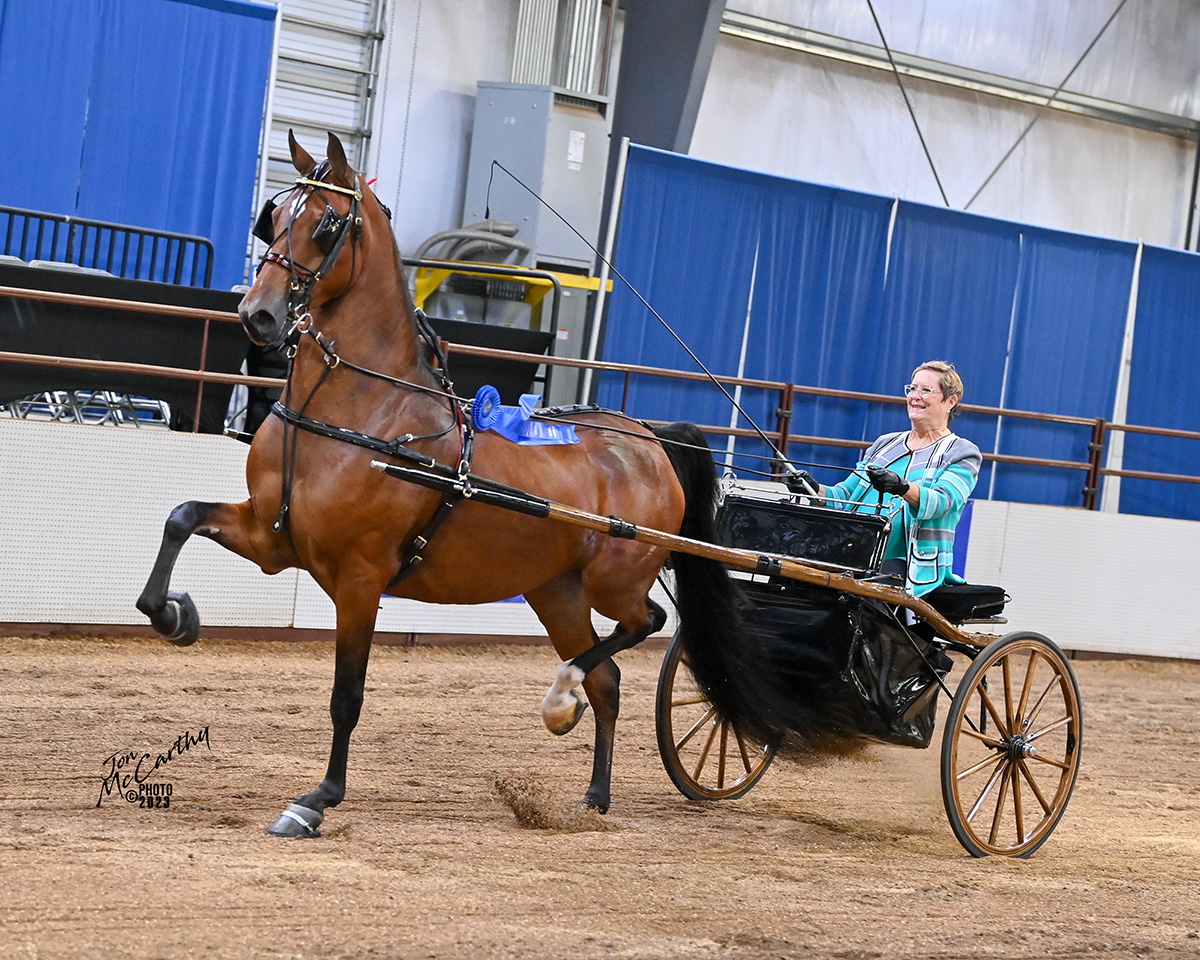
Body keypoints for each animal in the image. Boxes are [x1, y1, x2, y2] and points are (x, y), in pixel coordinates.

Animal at [136, 131, 744, 835]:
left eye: (327, 223)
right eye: (275, 215)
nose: (257, 315)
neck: (359, 412)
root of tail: (647, 437)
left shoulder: (361, 577)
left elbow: (347, 695)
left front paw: (317, 799)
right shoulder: (271, 538)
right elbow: (180, 515)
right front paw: (174, 614)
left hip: (614, 580)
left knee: (648, 622)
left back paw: (560, 700)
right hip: (555, 592)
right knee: (610, 680)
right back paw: (593, 792)